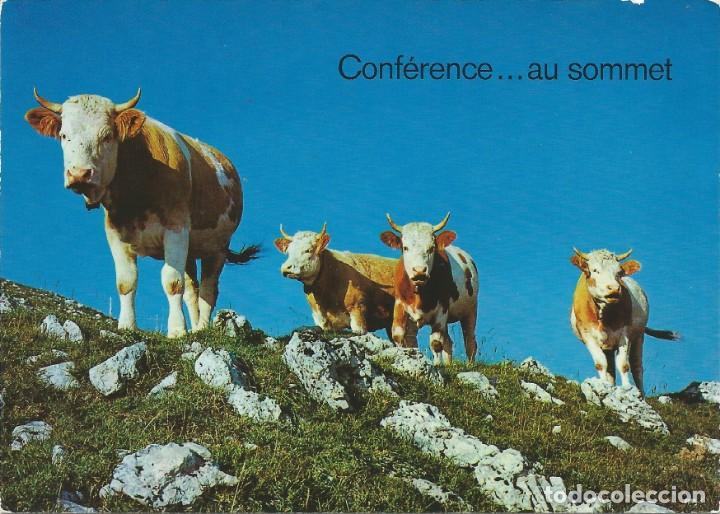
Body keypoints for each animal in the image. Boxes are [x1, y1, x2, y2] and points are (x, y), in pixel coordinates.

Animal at [25, 89, 258, 338]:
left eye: (107, 136)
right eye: (63, 135)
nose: (79, 174)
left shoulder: (176, 228)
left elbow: (172, 282)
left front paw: (177, 331)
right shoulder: (115, 233)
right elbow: (126, 282)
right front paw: (127, 326)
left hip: (217, 247)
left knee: (208, 290)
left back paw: (202, 328)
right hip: (191, 251)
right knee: (192, 290)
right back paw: (195, 328)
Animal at [380, 212, 479, 365]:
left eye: (431, 248)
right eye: (405, 247)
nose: (419, 271)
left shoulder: (442, 309)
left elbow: (436, 343)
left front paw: (437, 365)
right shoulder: (400, 304)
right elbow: (398, 335)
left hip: (471, 310)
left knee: (470, 341)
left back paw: (469, 364)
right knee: (448, 342)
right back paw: (448, 365)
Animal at [570, 247, 679, 396]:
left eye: (619, 273)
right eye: (595, 270)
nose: (614, 288)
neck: (603, 314)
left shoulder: (625, 334)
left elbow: (623, 364)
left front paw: (627, 388)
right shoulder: (587, 335)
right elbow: (600, 363)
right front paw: (603, 385)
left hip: (639, 336)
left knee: (637, 367)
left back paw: (641, 394)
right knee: (610, 369)